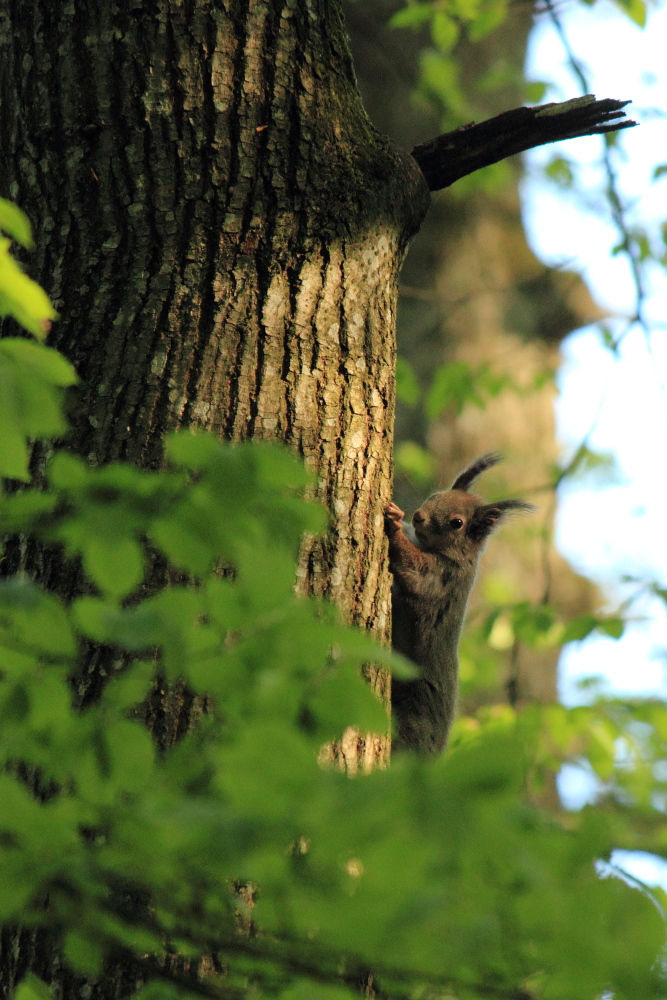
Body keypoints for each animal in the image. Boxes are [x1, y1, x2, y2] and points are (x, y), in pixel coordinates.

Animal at [384, 450, 536, 752]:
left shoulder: (443, 577)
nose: (418, 516)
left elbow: (416, 574)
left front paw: (394, 526)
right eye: (435, 495)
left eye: (457, 523)